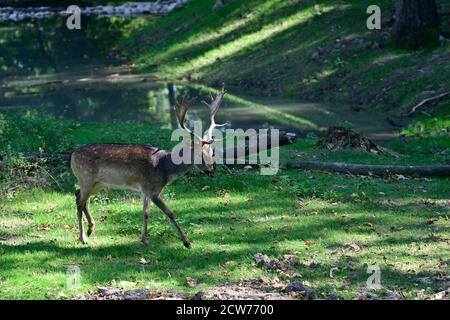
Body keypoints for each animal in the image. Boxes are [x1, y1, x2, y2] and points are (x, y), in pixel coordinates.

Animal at [71, 87, 227, 248]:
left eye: (211, 151)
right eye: (199, 154)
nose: (211, 171)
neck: (164, 170)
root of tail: (72, 155)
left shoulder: (146, 189)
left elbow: (145, 213)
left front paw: (144, 239)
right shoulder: (152, 190)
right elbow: (170, 213)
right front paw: (186, 242)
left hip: (98, 183)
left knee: (78, 195)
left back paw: (91, 228)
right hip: (86, 177)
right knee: (79, 201)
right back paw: (83, 237)